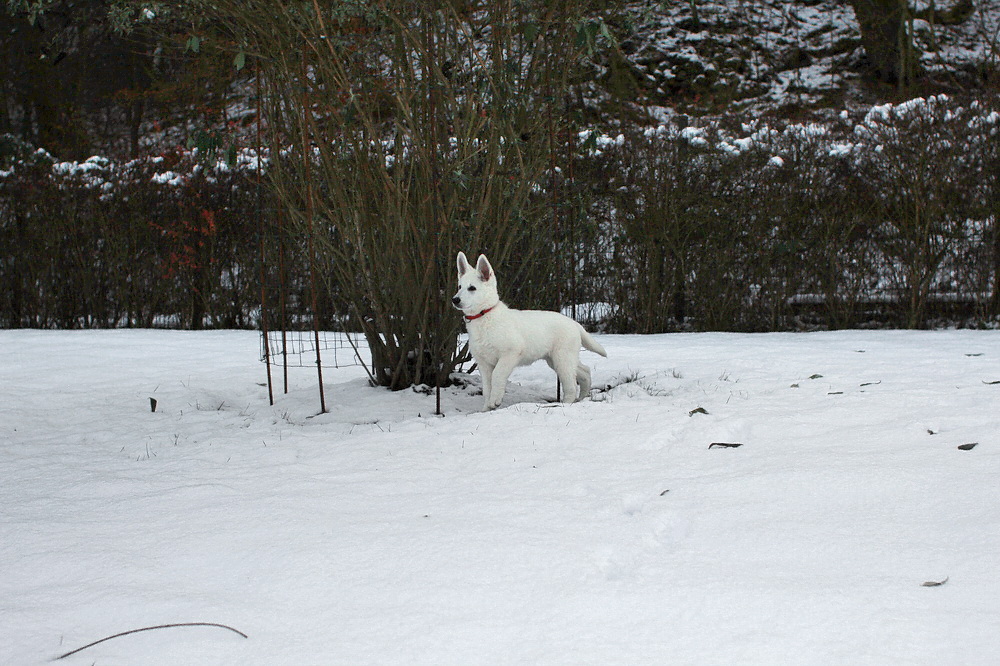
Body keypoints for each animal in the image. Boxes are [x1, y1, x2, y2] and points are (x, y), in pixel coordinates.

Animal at [456, 252, 608, 410]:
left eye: (472, 288)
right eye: (460, 286)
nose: (455, 300)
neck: (485, 316)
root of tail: (574, 323)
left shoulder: (510, 354)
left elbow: (497, 375)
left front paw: (495, 401)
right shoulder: (484, 363)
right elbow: (487, 387)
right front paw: (487, 408)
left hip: (562, 358)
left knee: (571, 384)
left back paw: (566, 404)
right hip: (558, 359)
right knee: (585, 371)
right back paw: (583, 396)